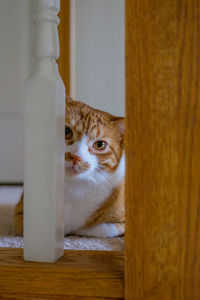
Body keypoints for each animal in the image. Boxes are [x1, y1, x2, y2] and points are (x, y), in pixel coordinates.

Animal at [14, 97, 125, 238]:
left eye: (99, 144)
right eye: (66, 131)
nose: (76, 156)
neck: (72, 186)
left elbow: (97, 229)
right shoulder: (20, 211)